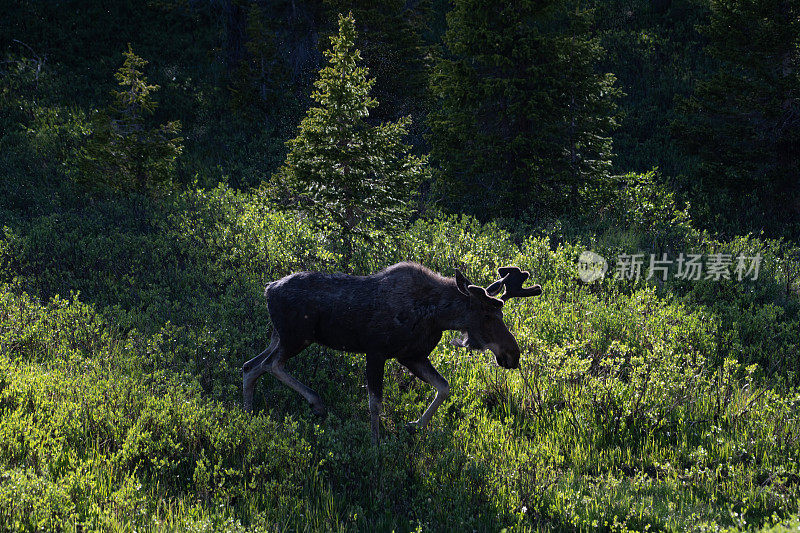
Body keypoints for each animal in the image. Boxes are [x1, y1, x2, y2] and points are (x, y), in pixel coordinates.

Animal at [242, 260, 544, 440]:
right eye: (488, 315)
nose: (513, 355)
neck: (437, 315)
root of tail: (268, 289)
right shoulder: (376, 352)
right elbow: (375, 403)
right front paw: (376, 443)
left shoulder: (411, 355)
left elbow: (444, 387)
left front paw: (414, 426)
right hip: (296, 338)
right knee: (270, 365)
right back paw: (315, 402)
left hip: (278, 337)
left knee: (250, 366)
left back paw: (249, 413)